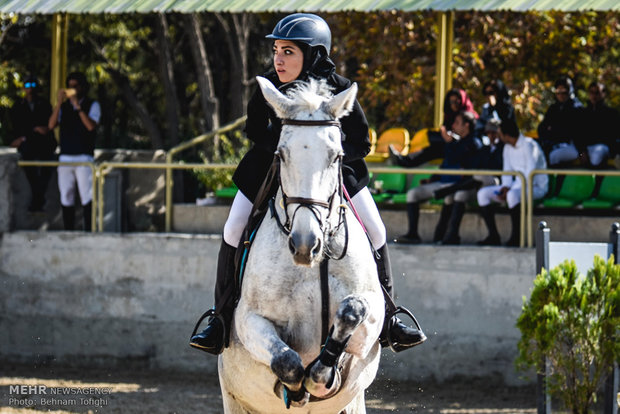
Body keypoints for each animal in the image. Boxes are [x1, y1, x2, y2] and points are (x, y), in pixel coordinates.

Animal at [217, 77, 382, 414]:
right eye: (280, 155)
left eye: (336, 156)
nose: (305, 245)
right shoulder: (248, 320)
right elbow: (287, 361)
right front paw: (296, 388)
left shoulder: (372, 321)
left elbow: (352, 310)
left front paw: (325, 370)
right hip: (233, 398)